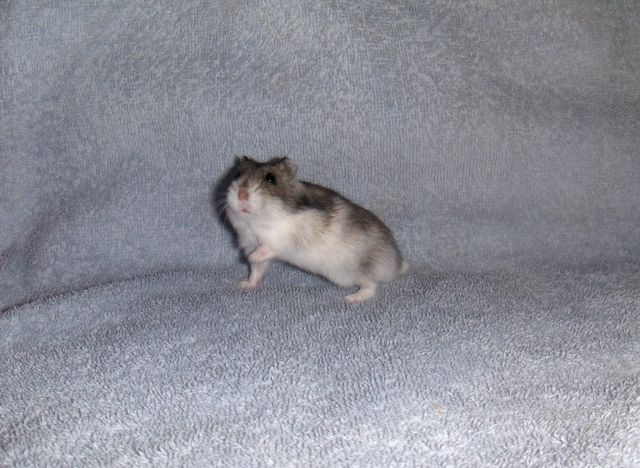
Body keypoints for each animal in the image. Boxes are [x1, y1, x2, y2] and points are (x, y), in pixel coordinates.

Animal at [224, 156, 408, 304]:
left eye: (270, 178)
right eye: (237, 175)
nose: (241, 194)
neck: (255, 222)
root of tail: (396, 263)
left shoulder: (286, 238)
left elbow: (268, 248)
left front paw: (249, 257)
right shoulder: (251, 243)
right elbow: (256, 270)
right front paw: (244, 284)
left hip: (349, 273)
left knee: (371, 285)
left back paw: (351, 299)